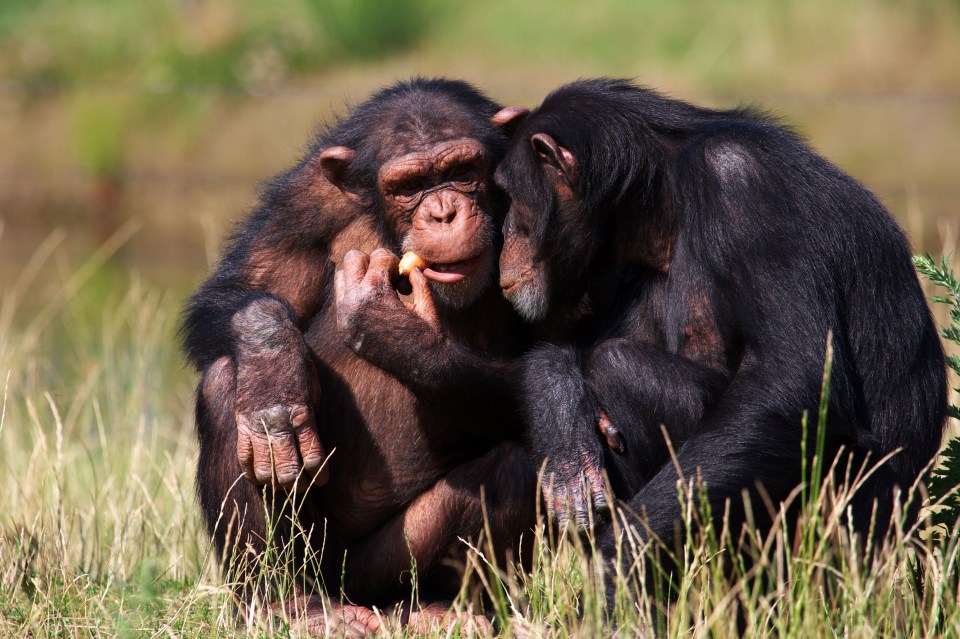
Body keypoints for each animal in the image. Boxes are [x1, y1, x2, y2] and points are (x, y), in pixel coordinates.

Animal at [180, 79, 536, 636]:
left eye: (463, 171)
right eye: (410, 185)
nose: (443, 211)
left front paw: (394, 329)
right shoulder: (304, 200)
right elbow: (245, 288)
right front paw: (272, 370)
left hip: (378, 570)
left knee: (517, 467)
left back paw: (442, 610)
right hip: (322, 561)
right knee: (223, 387)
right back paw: (290, 606)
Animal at [492, 79, 948, 596]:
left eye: (509, 195)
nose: (505, 232)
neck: (661, 198)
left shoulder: (741, 186)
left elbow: (789, 379)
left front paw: (621, 557)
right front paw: (559, 417)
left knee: (618, 367)